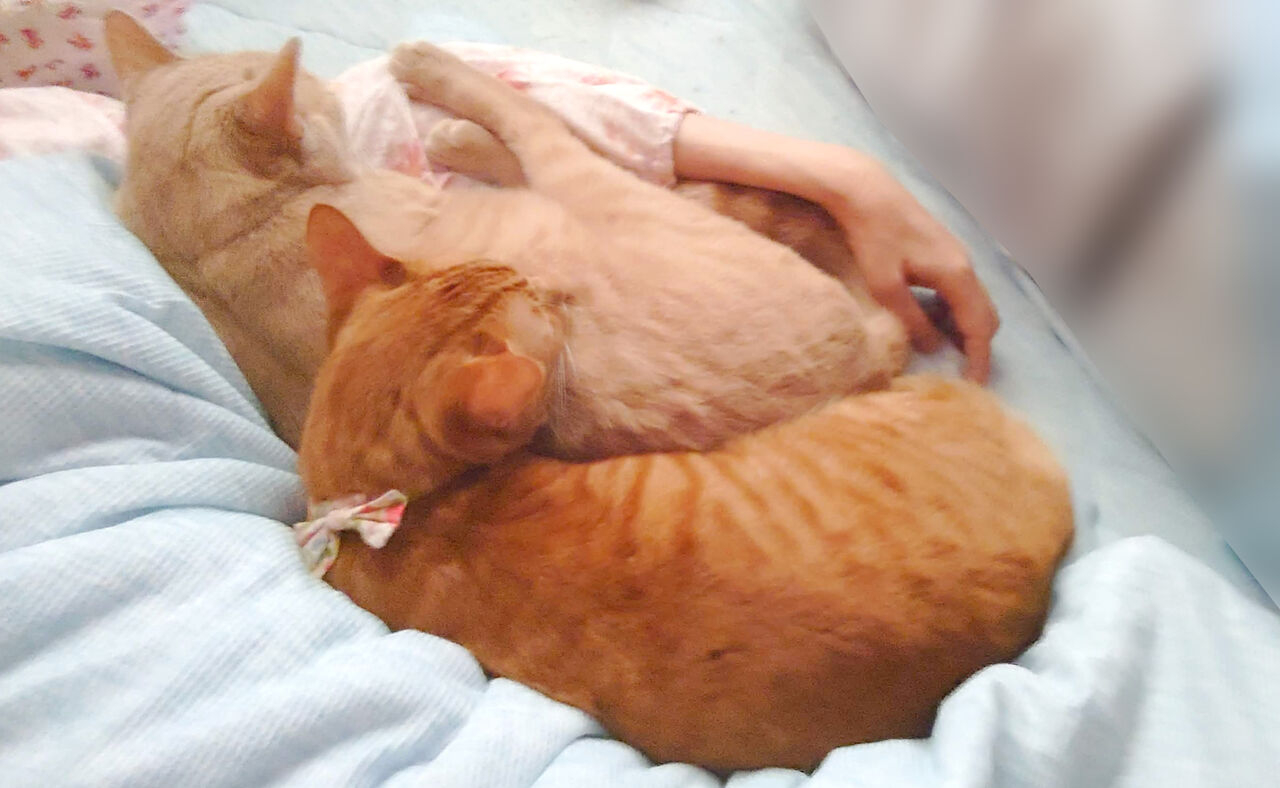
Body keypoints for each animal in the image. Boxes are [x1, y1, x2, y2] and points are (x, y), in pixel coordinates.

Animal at [105, 13, 908, 453]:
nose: (330, 89)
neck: (218, 249)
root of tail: (861, 363)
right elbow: (526, 135)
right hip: (593, 191)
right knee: (535, 126)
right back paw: (444, 94)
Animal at [296, 234, 1075, 772]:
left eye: (520, 277)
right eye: (538, 306)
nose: (555, 286)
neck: (402, 509)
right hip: (883, 382)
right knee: (878, 314)